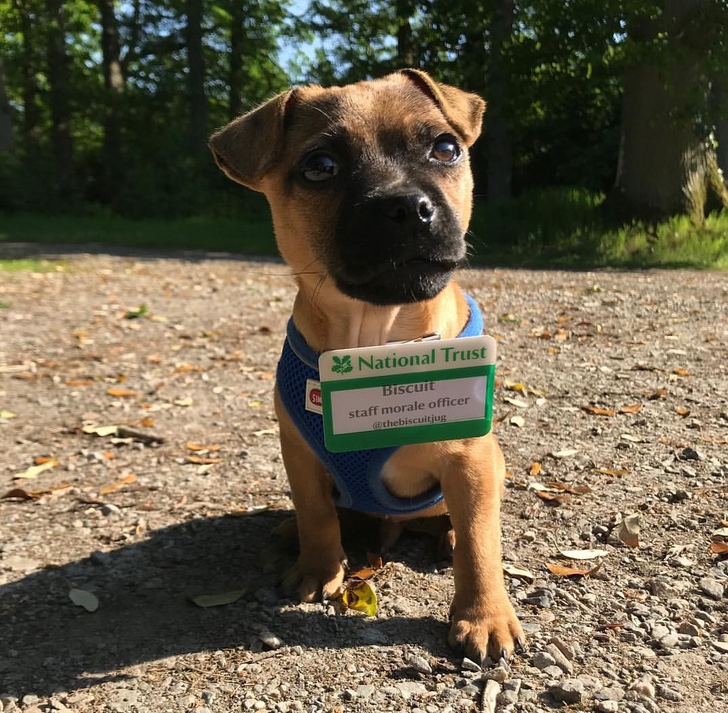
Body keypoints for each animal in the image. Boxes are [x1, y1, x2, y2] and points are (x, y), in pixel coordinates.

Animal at [210, 69, 524, 660]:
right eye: (320, 167)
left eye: (445, 148)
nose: (404, 205)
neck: (378, 342)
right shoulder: (300, 452)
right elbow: (315, 513)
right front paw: (317, 569)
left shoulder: (470, 459)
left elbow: (480, 542)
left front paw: (484, 617)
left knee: (465, 523)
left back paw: (446, 535)